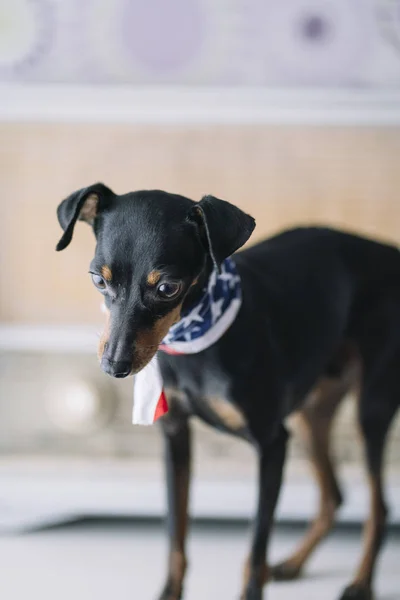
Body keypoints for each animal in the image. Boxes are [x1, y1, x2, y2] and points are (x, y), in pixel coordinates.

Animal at [56, 184, 400, 600]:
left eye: (167, 288)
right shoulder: (175, 438)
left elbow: (255, 549)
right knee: (334, 496)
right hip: (311, 413)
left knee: (379, 505)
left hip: (372, 408)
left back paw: (361, 583)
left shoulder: (272, 444)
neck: (193, 339)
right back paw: (294, 564)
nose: (114, 366)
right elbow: (176, 534)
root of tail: (390, 252)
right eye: (98, 280)